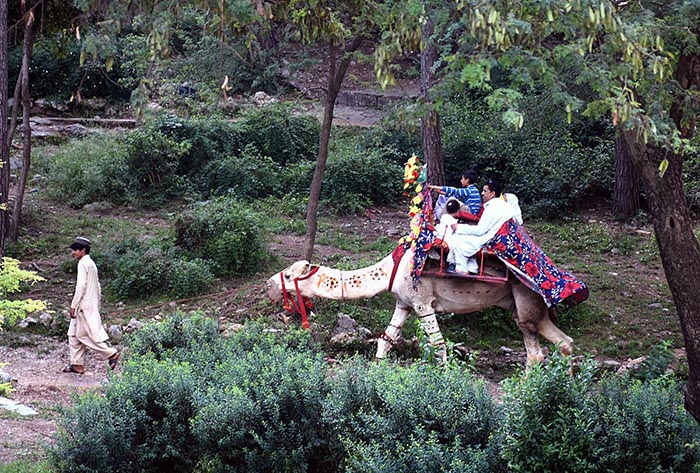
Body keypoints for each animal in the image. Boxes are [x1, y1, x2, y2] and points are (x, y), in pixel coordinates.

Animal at [268, 247, 576, 366]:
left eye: (288, 275)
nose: (268, 286)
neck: (391, 269)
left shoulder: (422, 303)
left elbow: (438, 345)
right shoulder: (403, 304)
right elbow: (386, 339)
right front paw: (376, 371)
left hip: (526, 298)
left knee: (538, 348)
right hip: (522, 305)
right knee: (558, 344)